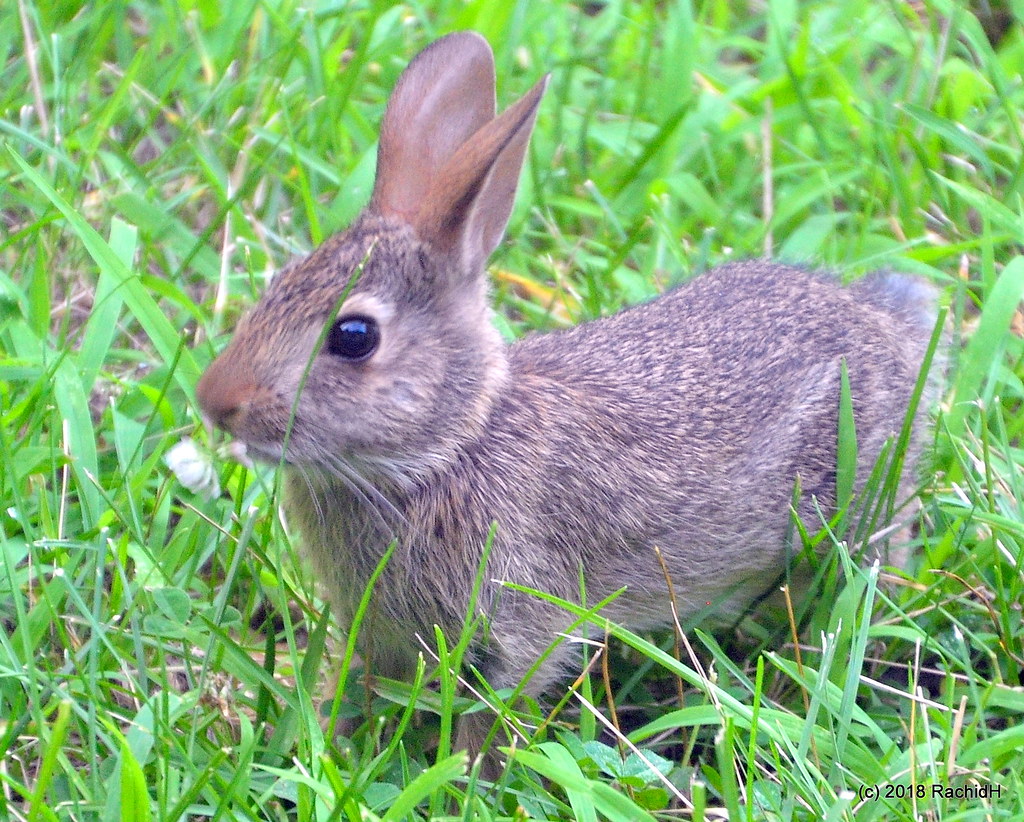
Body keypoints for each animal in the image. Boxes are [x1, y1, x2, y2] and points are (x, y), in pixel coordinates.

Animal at [196, 30, 939, 775]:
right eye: (276, 285)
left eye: (354, 337)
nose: (215, 402)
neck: (450, 447)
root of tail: (891, 326)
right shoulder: (378, 629)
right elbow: (359, 687)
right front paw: (327, 745)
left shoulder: (519, 622)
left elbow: (489, 717)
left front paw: (466, 780)